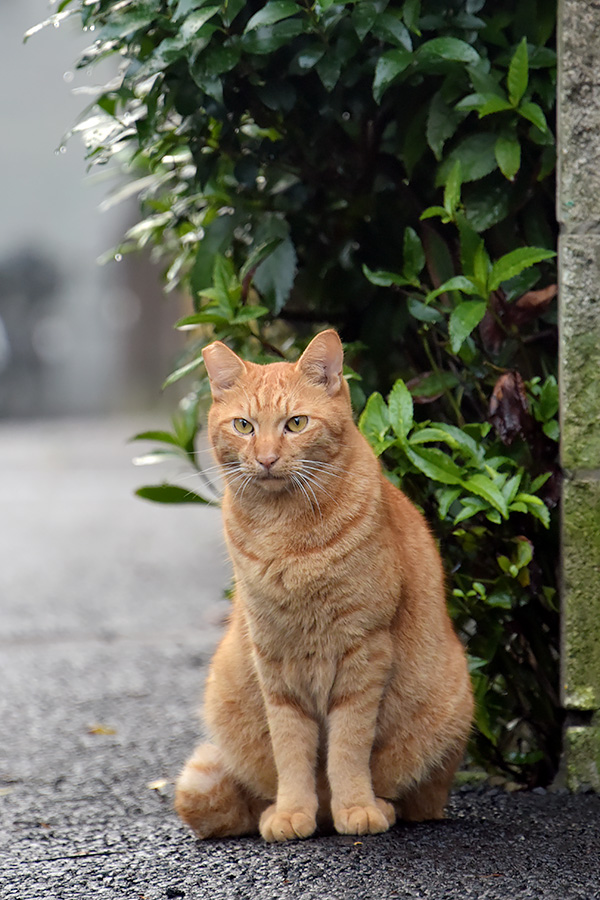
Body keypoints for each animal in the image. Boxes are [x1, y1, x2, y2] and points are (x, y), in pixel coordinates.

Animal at [173, 330, 474, 844]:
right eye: (244, 426)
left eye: (296, 423)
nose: (267, 458)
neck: (284, 533)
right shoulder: (274, 659)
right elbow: (291, 749)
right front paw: (293, 812)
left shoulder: (364, 652)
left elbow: (348, 747)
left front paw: (356, 807)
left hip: (451, 708)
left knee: (419, 801)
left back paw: (378, 806)